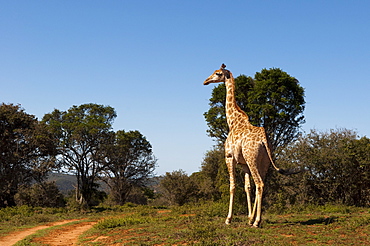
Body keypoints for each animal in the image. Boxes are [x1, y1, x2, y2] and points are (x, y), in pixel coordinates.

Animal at [202, 64, 290, 228]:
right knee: (260, 184)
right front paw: (248, 216)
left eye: (217, 73)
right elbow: (247, 187)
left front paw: (228, 219)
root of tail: (264, 139)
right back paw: (253, 220)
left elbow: (232, 186)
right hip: (263, 162)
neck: (232, 122)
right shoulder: (243, 164)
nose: (205, 81)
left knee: (260, 183)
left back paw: (257, 222)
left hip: (252, 158)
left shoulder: (229, 157)